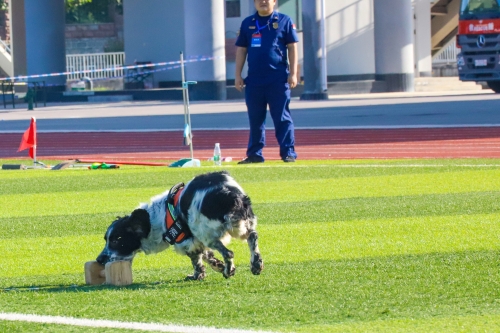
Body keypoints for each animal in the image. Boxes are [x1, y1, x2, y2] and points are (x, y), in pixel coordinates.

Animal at [95, 170, 264, 278]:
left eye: (117, 240)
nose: (99, 259)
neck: (157, 218)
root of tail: (228, 195)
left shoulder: (187, 241)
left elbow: (197, 260)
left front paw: (198, 275)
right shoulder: (195, 240)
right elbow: (206, 255)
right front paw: (217, 265)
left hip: (206, 232)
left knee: (228, 253)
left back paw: (229, 271)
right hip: (241, 224)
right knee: (253, 236)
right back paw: (256, 264)